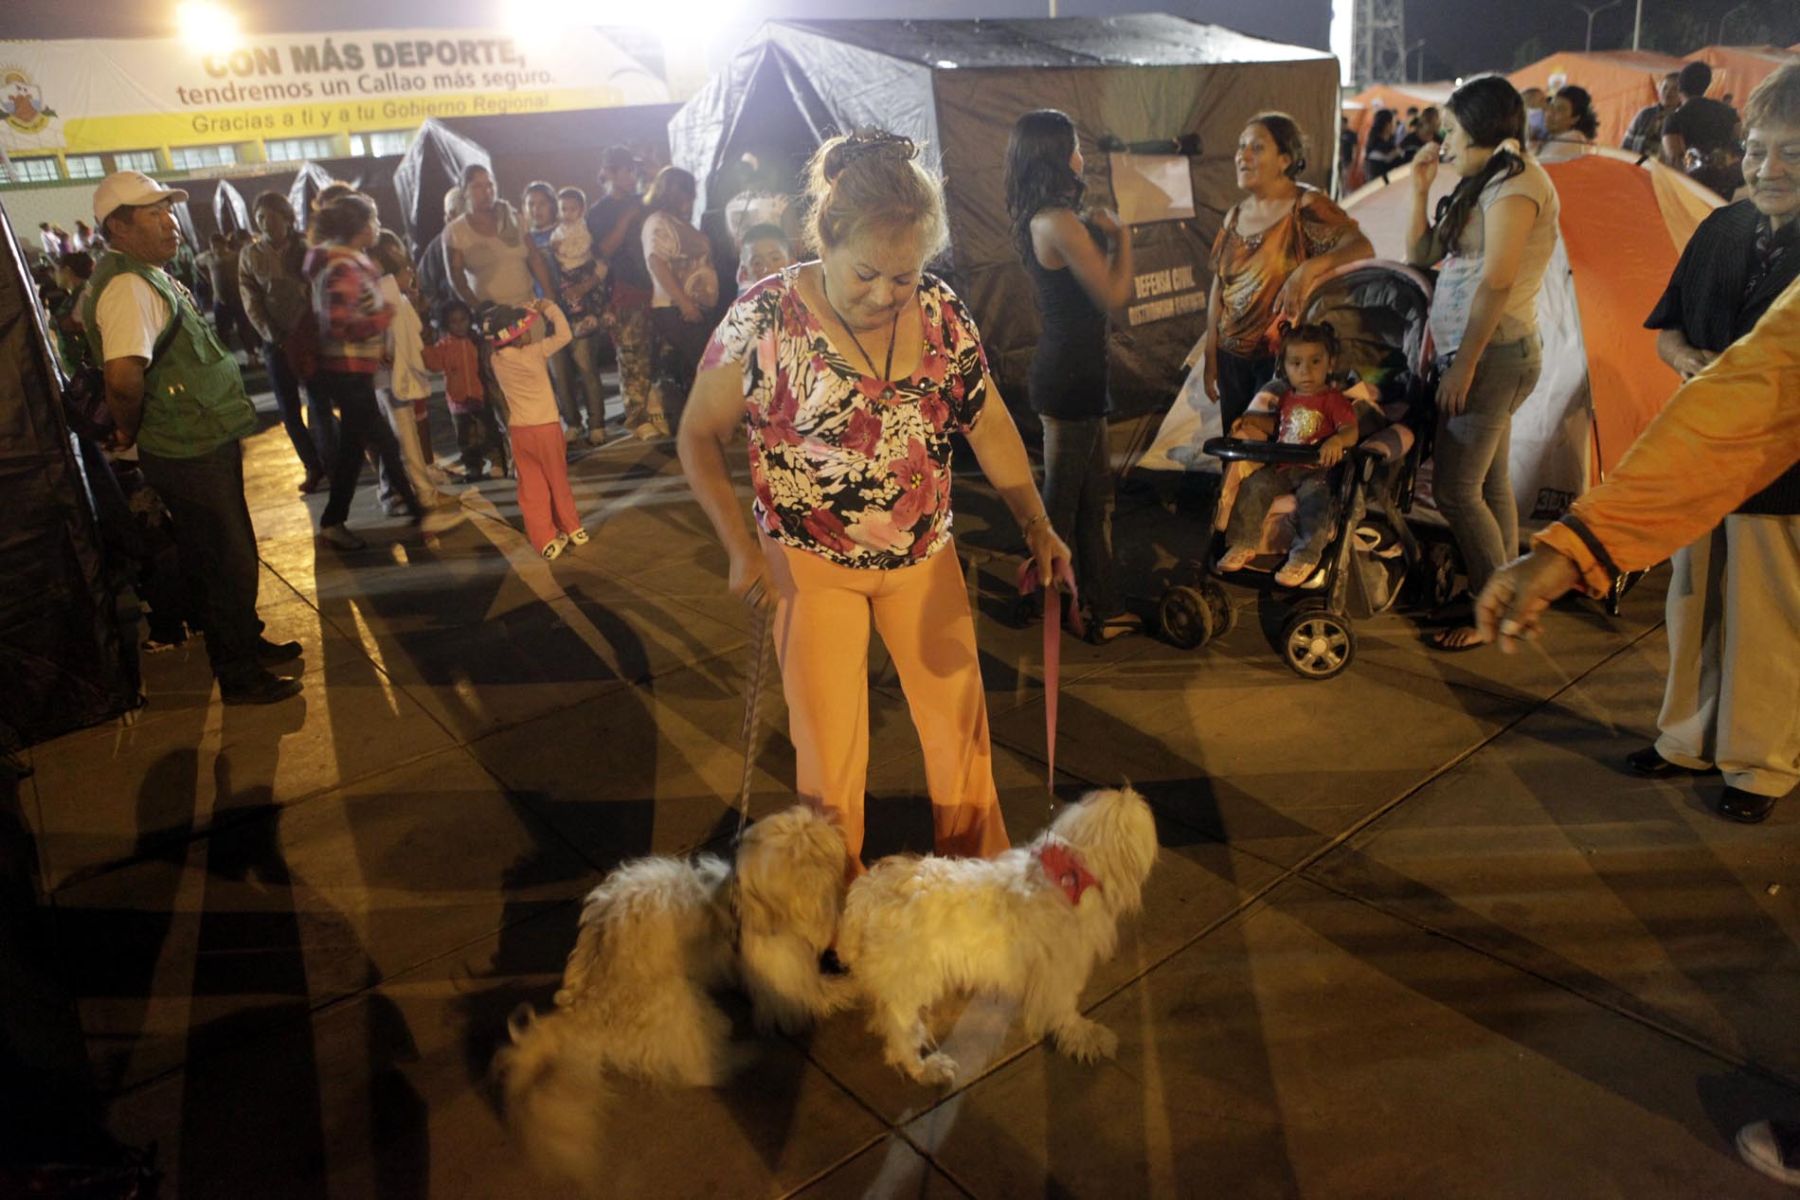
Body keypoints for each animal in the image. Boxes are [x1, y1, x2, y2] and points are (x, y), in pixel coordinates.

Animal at [496, 802, 853, 1187]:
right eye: (804, 852)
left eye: (814, 840)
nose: (826, 824)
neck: (745, 903)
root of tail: (585, 1006)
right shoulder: (785, 977)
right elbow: (814, 994)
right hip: (683, 1005)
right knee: (700, 1066)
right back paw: (741, 1055)